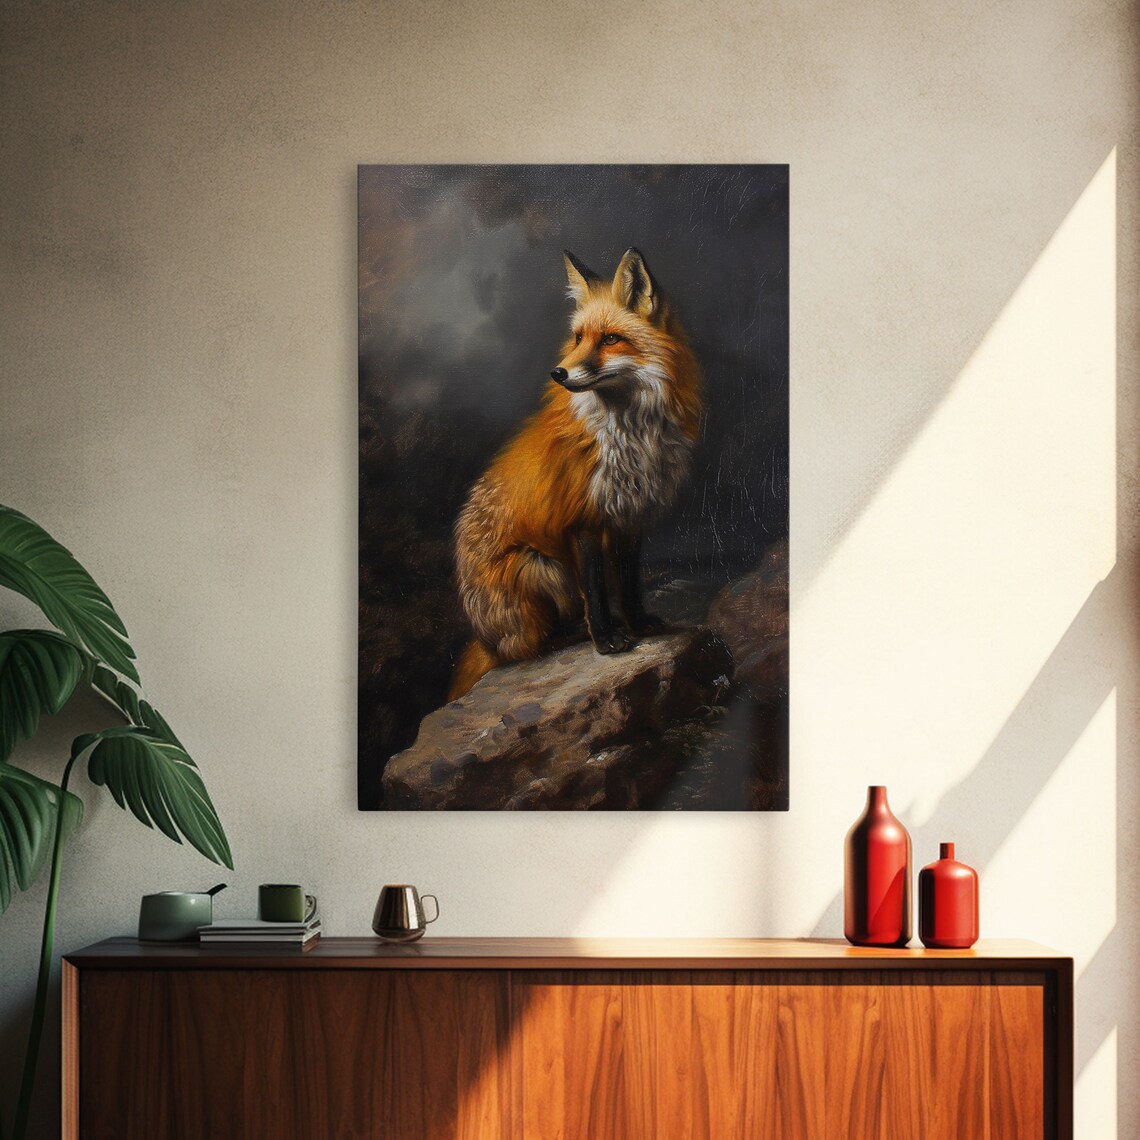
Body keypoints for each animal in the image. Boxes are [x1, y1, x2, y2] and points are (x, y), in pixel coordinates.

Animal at [448, 247, 703, 700]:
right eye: (579, 337)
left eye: (610, 339)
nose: (558, 373)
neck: (627, 434)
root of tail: (484, 637)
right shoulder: (583, 518)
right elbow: (598, 589)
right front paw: (608, 639)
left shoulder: (629, 516)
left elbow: (628, 581)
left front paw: (638, 623)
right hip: (539, 566)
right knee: (530, 646)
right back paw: (573, 635)